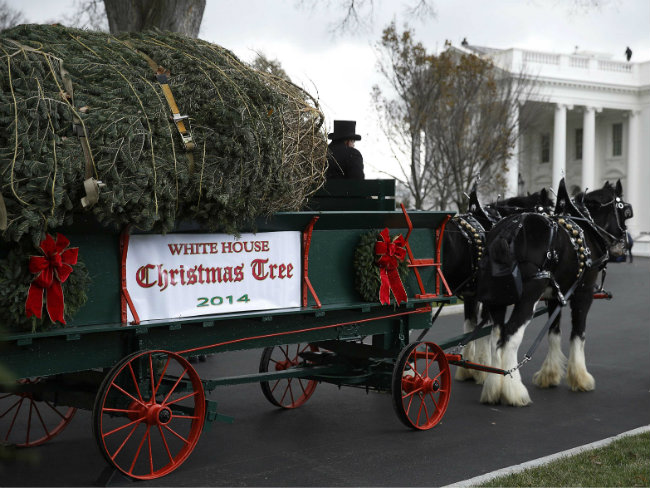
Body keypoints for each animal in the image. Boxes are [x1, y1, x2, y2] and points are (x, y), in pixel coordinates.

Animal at [474, 179, 632, 404]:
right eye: (625, 211)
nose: (623, 245)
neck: (586, 229)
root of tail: (509, 230)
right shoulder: (583, 294)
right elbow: (578, 334)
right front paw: (580, 378)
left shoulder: (555, 297)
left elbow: (553, 332)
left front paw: (549, 374)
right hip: (527, 298)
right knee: (509, 336)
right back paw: (514, 391)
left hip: (497, 300)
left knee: (496, 335)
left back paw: (493, 388)